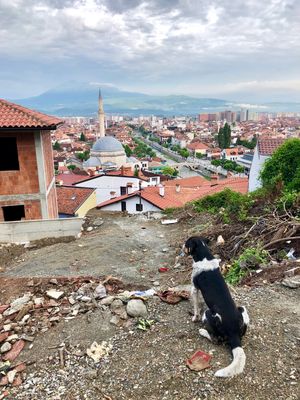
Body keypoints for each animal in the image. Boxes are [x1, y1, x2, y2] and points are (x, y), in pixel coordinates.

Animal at [184, 238, 250, 378]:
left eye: (186, 243)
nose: (182, 247)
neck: (204, 256)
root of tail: (234, 332)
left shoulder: (194, 288)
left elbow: (196, 307)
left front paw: (194, 317)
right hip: (242, 309)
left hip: (208, 314)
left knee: (215, 339)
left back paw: (202, 331)